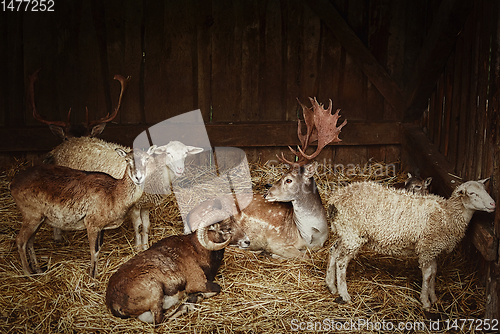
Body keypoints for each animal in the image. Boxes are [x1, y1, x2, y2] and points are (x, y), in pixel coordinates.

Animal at [9, 148, 153, 276]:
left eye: (147, 159)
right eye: (127, 160)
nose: (138, 177)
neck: (114, 193)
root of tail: (13, 183)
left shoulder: (101, 227)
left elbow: (99, 248)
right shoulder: (92, 223)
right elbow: (94, 251)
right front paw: (92, 276)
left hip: (39, 218)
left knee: (29, 241)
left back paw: (38, 269)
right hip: (30, 214)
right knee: (20, 241)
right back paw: (28, 273)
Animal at [45, 137, 203, 249]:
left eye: (186, 153)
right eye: (168, 153)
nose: (180, 170)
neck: (154, 172)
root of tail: (60, 146)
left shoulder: (146, 204)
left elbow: (146, 226)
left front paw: (146, 246)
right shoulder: (134, 205)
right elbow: (138, 226)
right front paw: (138, 247)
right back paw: (57, 237)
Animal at [186, 96, 346, 258]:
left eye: (289, 179)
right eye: (281, 175)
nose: (267, 193)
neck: (309, 236)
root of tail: (189, 216)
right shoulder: (277, 241)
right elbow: (303, 256)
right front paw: (271, 254)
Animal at [326, 179, 494, 310]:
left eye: (485, 190)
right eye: (472, 193)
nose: (493, 204)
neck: (448, 215)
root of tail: (335, 198)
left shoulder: (433, 249)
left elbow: (434, 272)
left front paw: (434, 298)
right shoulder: (427, 247)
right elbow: (427, 275)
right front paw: (425, 302)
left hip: (345, 232)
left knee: (334, 251)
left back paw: (331, 285)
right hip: (353, 233)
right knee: (341, 262)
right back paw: (344, 294)